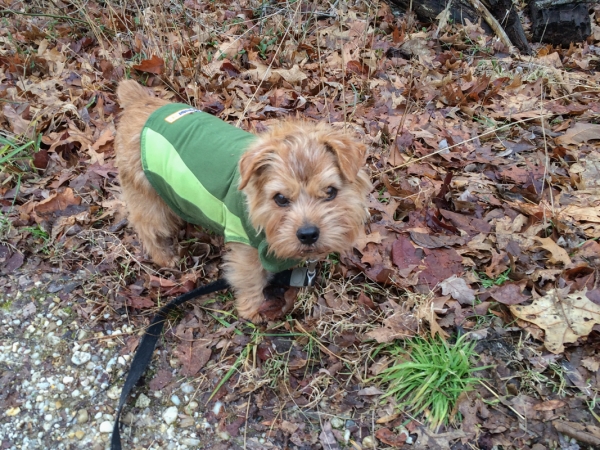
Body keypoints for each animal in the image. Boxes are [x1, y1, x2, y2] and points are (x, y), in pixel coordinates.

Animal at [113, 79, 370, 322]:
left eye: (330, 192)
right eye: (280, 198)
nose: (308, 234)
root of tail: (139, 101)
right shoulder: (245, 248)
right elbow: (250, 278)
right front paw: (253, 309)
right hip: (146, 197)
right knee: (146, 226)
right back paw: (165, 257)